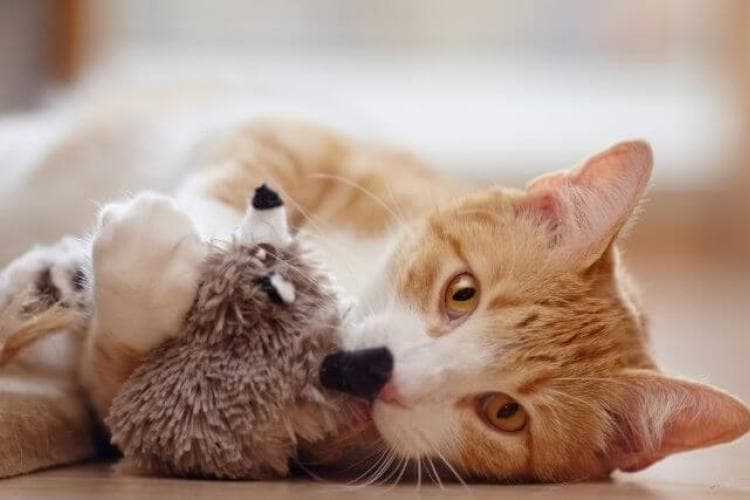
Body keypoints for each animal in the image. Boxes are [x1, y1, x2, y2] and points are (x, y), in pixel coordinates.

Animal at [0, 101, 748, 480]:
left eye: (505, 414)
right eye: (463, 294)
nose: (374, 372)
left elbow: (121, 376)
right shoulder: (307, 137)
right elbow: (244, 166)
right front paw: (230, 245)